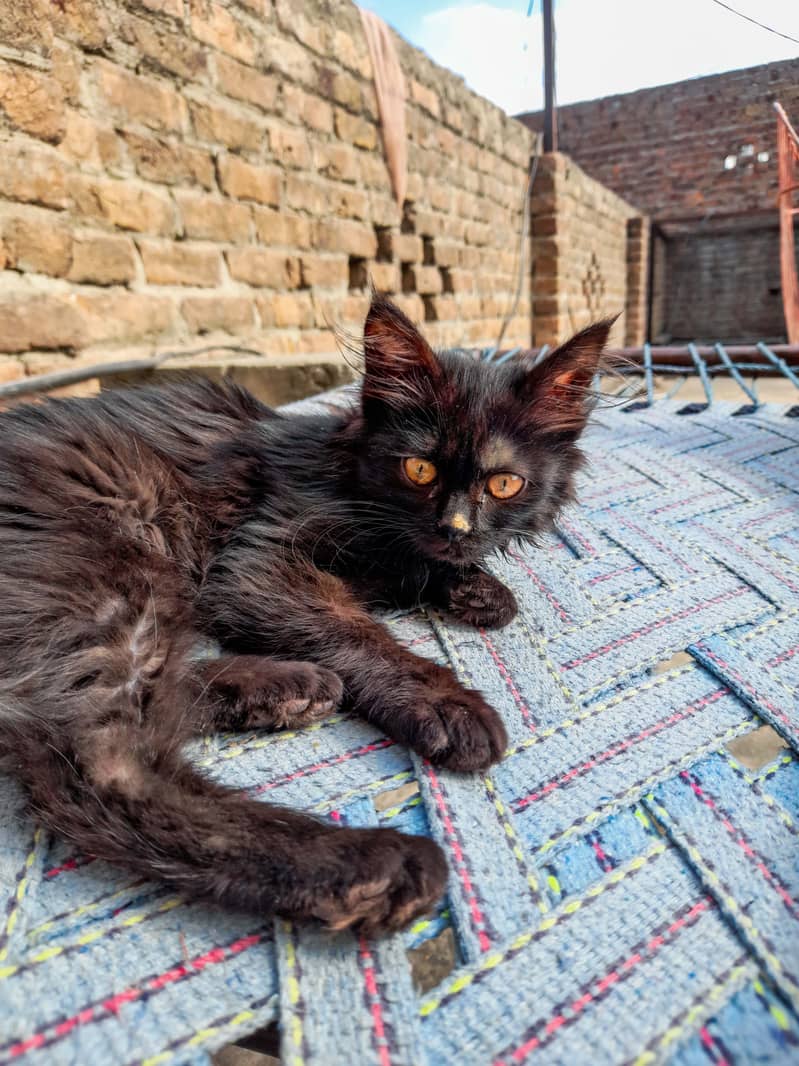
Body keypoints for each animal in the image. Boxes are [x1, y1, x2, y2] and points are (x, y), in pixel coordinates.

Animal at [0, 294, 613, 933]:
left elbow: (427, 576)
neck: (342, 467)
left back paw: (287, 689)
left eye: (505, 483)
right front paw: (447, 702)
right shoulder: (257, 563)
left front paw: (481, 590)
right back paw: (370, 868)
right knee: (102, 761)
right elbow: (357, 631)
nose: (455, 527)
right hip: (116, 570)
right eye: (419, 470)